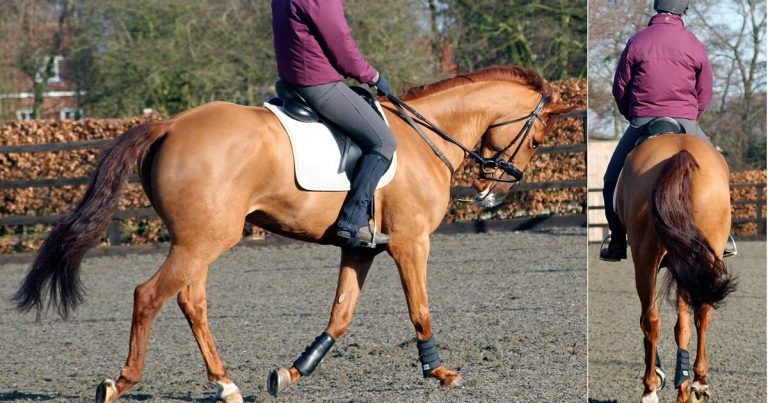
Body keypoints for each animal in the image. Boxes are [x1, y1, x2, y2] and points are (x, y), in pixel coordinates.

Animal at [14, 66, 575, 402]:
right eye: (538, 137)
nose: (491, 195)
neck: (423, 137)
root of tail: (170, 125)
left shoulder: (361, 248)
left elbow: (341, 314)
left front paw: (292, 370)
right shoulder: (411, 242)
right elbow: (419, 308)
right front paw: (439, 371)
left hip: (201, 240)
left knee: (191, 301)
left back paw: (225, 384)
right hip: (205, 239)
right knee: (149, 295)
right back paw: (121, 382)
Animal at [614, 132, 736, 403]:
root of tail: (681, 152)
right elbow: (682, 325)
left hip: (647, 259)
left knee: (653, 319)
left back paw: (652, 388)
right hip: (700, 258)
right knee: (700, 313)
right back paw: (696, 383)